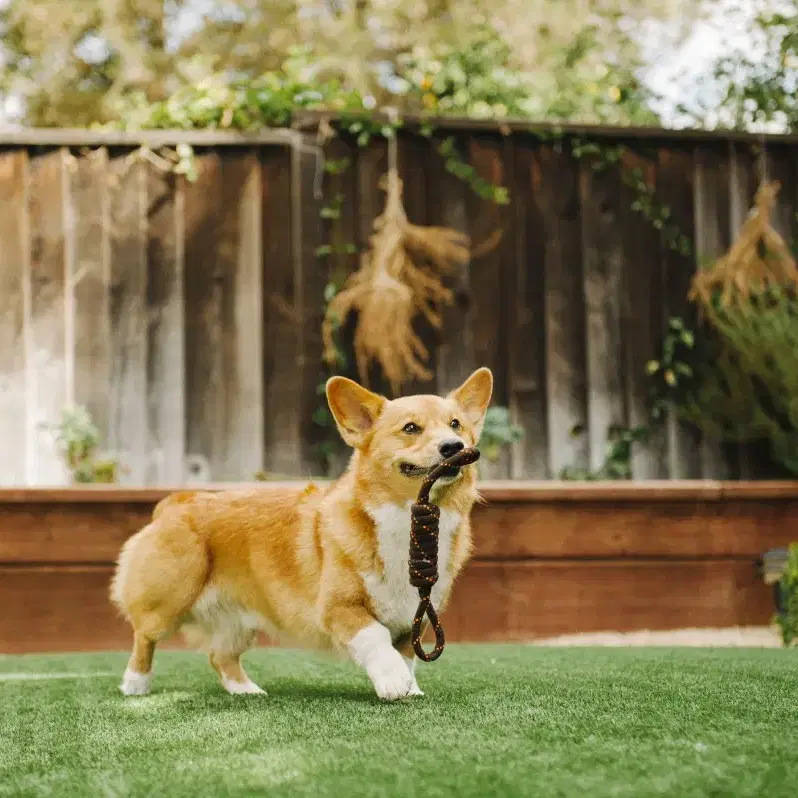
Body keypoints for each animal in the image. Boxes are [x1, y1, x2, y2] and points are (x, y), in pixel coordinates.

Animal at [109, 368, 490, 700]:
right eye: (411, 428)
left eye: (455, 424)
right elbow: (377, 638)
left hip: (239, 621)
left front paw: (409, 686)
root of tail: (173, 503)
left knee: (221, 657)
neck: (407, 523)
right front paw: (393, 681)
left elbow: (407, 655)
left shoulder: (417, 616)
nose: (454, 446)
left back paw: (247, 691)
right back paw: (135, 684)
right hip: (169, 601)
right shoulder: (338, 608)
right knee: (144, 636)